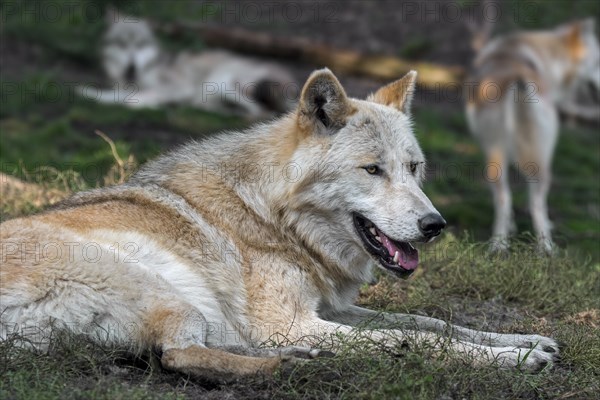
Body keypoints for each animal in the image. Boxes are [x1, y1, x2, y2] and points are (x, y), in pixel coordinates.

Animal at [2, 70, 560, 382]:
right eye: (372, 170)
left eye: (414, 168)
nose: (434, 225)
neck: (273, 216)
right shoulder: (291, 320)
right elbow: (418, 338)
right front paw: (517, 361)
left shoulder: (329, 310)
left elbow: (432, 323)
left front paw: (526, 341)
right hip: (162, 291)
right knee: (176, 355)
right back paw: (290, 365)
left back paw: (309, 355)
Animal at [82, 7, 298, 117]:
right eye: (122, 44)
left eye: (140, 44)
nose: (131, 66)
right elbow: (112, 96)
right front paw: (88, 92)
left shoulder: (180, 87)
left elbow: (130, 100)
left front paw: (153, 105)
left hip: (220, 81)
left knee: (260, 111)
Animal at [468, 19, 600, 253]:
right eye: (597, 63)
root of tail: (516, 79)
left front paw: (510, 228)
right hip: (542, 160)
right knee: (536, 203)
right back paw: (546, 249)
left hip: (495, 155)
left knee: (503, 198)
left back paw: (499, 245)